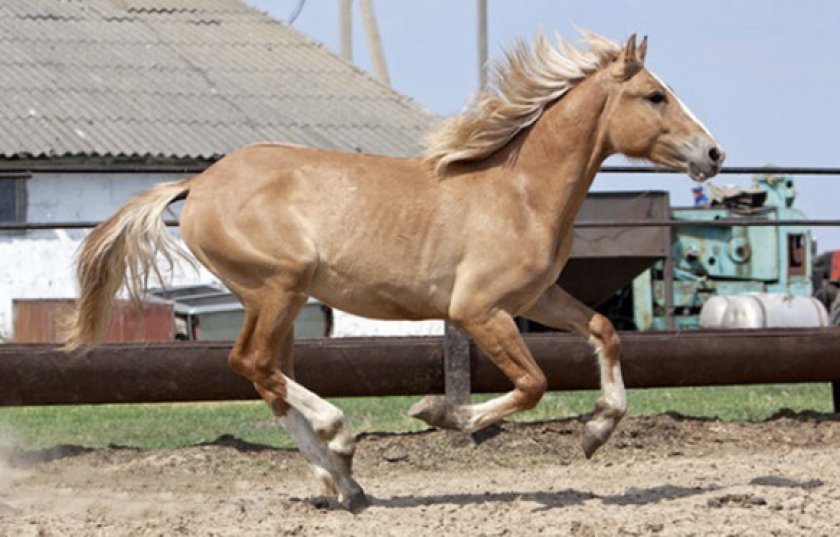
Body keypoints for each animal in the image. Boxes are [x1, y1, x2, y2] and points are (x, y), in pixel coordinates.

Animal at [65, 32, 720, 510]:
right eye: (655, 96)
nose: (714, 154)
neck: (519, 192)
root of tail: (199, 183)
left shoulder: (538, 299)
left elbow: (605, 333)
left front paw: (596, 431)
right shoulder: (478, 311)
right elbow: (532, 384)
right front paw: (439, 413)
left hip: (279, 301)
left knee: (267, 376)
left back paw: (343, 484)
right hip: (275, 288)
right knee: (252, 364)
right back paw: (339, 438)